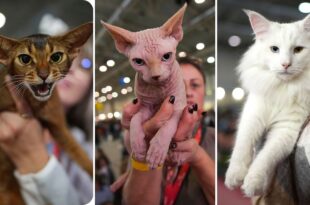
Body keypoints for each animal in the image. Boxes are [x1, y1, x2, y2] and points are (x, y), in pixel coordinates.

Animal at [0, 22, 92, 205]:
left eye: (56, 57)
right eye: (25, 59)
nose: (43, 75)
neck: (34, 104)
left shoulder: (57, 125)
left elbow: (78, 152)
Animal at [103, 4, 188, 168]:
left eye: (167, 56)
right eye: (139, 61)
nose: (156, 76)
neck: (159, 89)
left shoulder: (178, 105)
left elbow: (169, 125)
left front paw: (157, 150)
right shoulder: (145, 106)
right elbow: (135, 119)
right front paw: (138, 145)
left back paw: (178, 156)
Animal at [224, 10, 310, 197]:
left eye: (298, 50)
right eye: (274, 49)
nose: (286, 64)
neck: (283, 90)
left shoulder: (286, 129)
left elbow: (265, 157)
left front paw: (252, 185)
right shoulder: (252, 116)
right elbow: (242, 146)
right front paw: (233, 177)